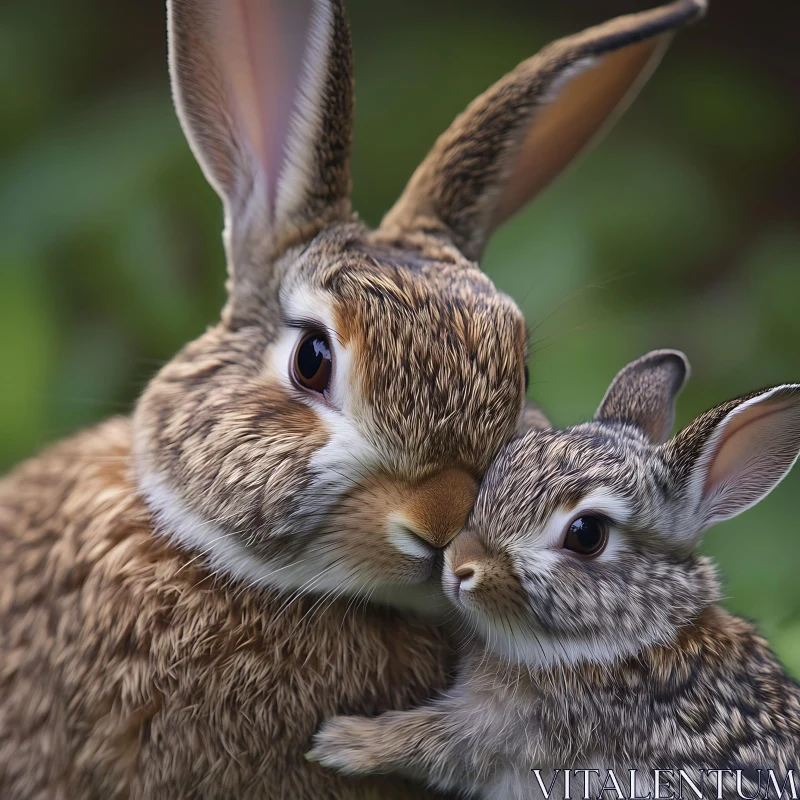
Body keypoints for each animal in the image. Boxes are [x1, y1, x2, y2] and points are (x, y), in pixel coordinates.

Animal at [314, 352, 800, 800]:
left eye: (586, 535)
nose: (460, 567)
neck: (628, 647)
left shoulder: (512, 733)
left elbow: (435, 743)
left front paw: (344, 742)